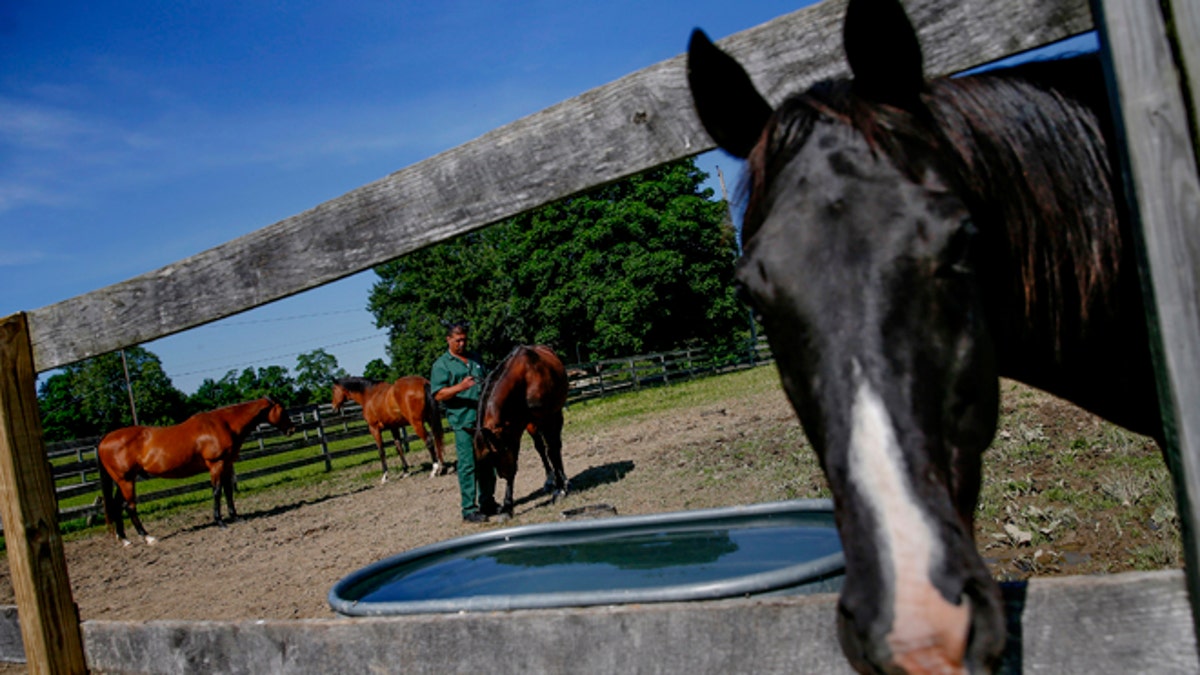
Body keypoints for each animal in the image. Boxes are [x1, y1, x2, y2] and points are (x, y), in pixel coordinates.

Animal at [97, 396, 294, 542]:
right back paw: (147, 537)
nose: (292, 429)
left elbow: (228, 491)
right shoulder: (216, 464)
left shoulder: (227, 464)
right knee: (129, 506)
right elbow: (217, 491)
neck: (224, 424)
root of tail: (105, 439)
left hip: (122, 481)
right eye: (283, 410)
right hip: (126, 481)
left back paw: (124, 539)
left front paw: (236, 517)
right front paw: (220, 522)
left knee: (117, 506)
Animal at [472, 343, 566, 516]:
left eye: (493, 454)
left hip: (554, 416)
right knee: (541, 448)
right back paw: (550, 480)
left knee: (555, 446)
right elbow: (515, 464)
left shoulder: (548, 417)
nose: (501, 474)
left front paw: (561, 489)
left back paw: (562, 480)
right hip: (532, 425)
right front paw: (507, 505)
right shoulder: (511, 432)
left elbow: (553, 450)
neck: (525, 379)